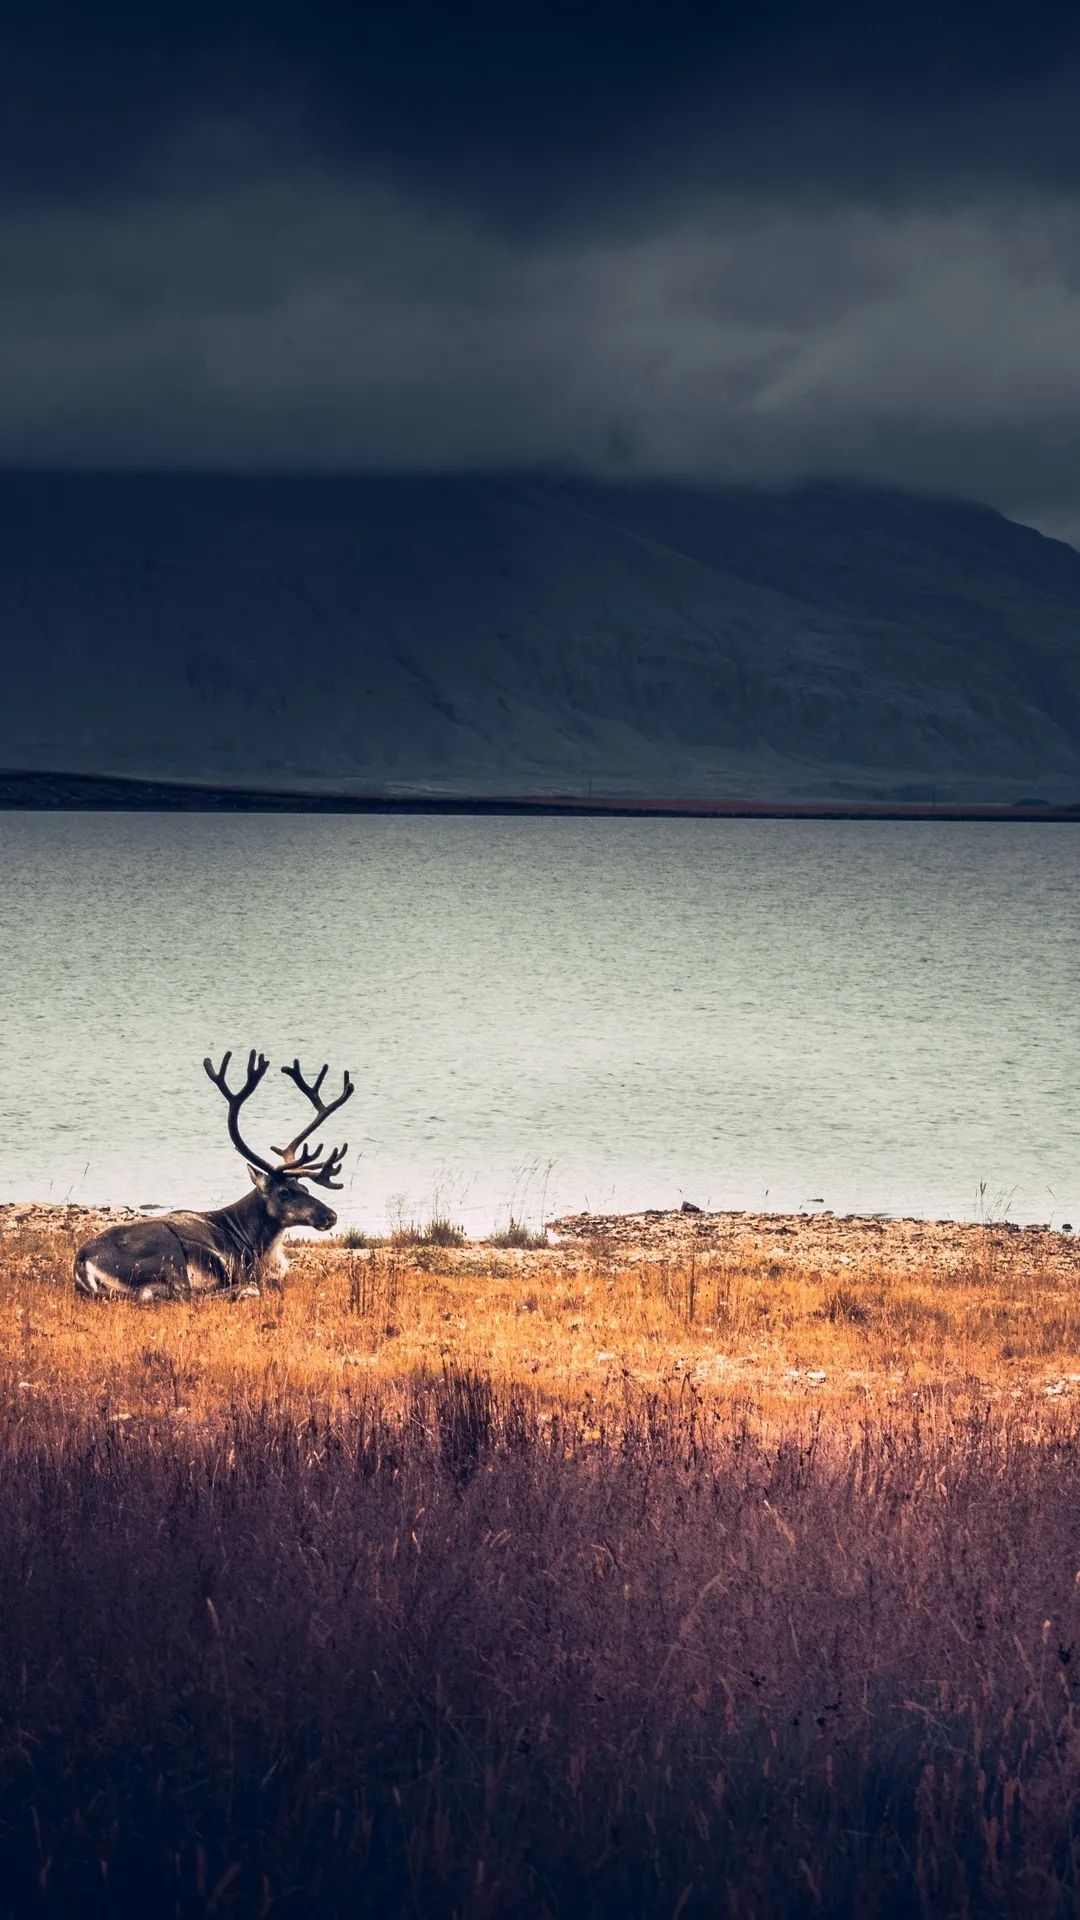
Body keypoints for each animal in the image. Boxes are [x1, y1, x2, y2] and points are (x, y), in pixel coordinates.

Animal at [73, 1050, 354, 1301]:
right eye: (284, 1192)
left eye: (306, 1189)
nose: (331, 1215)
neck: (255, 1242)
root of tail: (82, 1262)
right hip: (169, 1256)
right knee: (177, 1295)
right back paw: (240, 1292)